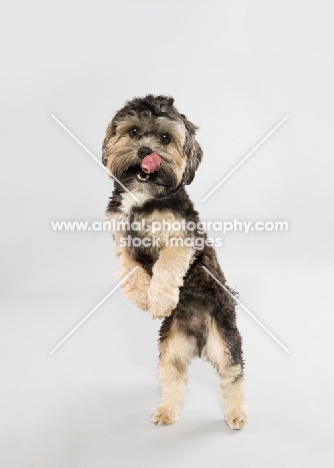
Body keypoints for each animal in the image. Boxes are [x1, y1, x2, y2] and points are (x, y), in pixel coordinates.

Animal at [103, 93, 247, 430]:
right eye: (133, 132)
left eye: (166, 139)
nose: (146, 152)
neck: (142, 195)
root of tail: (199, 340)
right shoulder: (121, 240)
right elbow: (128, 270)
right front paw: (143, 297)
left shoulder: (181, 238)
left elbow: (167, 266)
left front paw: (158, 300)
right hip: (172, 346)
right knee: (175, 378)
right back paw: (166, 412)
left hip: (223, 337)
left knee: (231, 375)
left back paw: (236, 414)